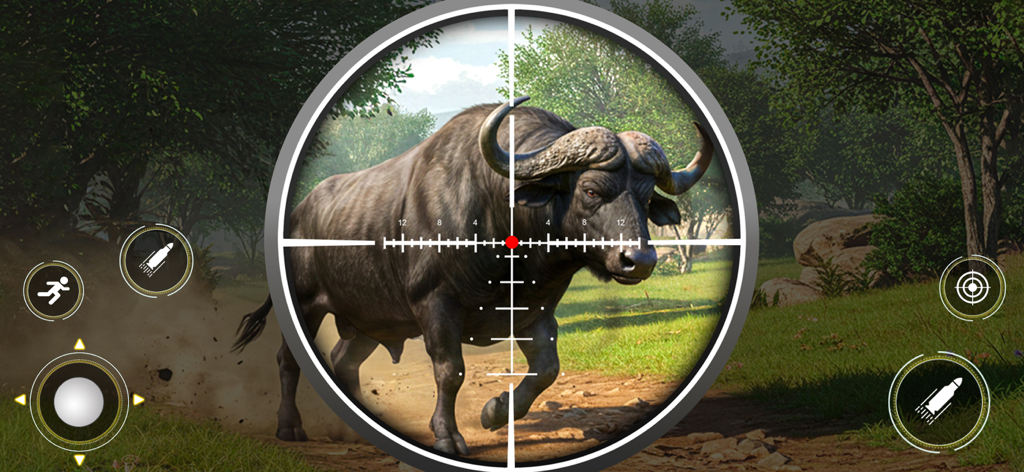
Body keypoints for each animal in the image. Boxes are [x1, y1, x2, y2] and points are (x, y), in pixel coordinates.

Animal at [234, 96, 714, 455]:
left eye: (646, 196)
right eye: (592, 190)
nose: (640, 260)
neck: (500, 214)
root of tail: (297, 215)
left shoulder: (535, 310)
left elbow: (547, 369)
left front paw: (495, 411)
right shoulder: (436, 304)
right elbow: (451, 371)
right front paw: (448, 436)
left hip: (371, 319)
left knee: (342, 360)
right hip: (305, 303)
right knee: (288, 360)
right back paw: (289, 427)